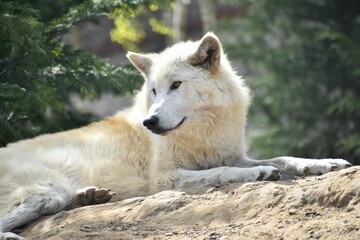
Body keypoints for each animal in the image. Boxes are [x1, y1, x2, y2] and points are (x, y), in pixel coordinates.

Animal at [0, 32, 350, 239]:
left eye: (176, 85)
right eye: (154, 90)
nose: (150, 122)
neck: (202, 132)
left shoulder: (231, 153)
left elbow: (286, 158)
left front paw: (326, 163)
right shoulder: (166, 178)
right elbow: (224, 172)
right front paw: (259, 173)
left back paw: (90, 196)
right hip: (44, 193)